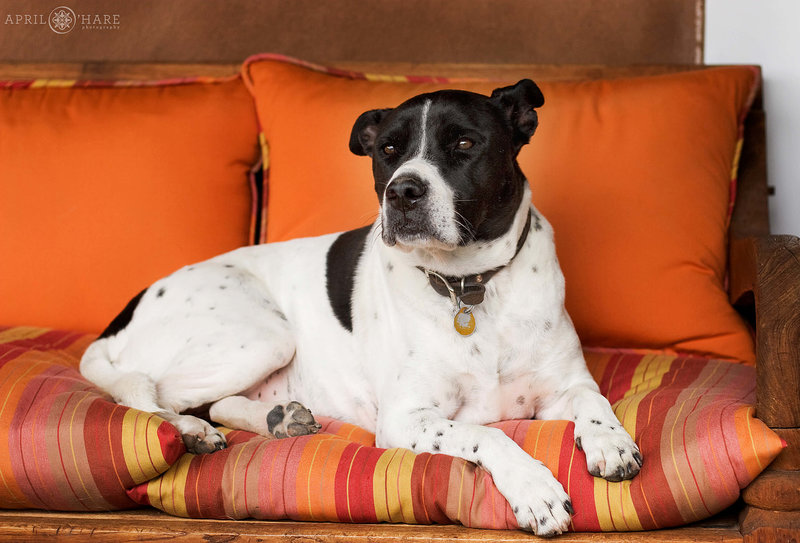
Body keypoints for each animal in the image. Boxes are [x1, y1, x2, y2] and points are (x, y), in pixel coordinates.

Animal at [81, 79, 640, 536]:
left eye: (464, 143)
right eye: (388, 150)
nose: (403, 191)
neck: (471, 286)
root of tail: (126, 312)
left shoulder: (564, 387)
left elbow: (594, 401)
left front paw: (610, 441)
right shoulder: (405, 417)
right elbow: (486, 435)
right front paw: (533, 487)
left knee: (214, 403)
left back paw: (279, 419)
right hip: (263, 336)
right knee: (148, 394)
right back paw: (190, 432)